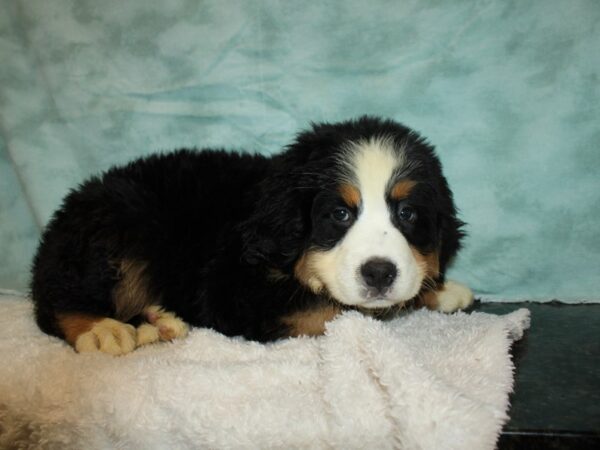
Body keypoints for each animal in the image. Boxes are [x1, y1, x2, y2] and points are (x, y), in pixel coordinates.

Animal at [30, 117, 474, 356]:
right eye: (340, 214)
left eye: (407, 213)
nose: (379, 273)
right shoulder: (232, 288)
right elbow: (329, 310)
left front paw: (442, 290)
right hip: (120, 225)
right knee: (56, 299)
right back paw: (102, 328)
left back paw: (160, 322)